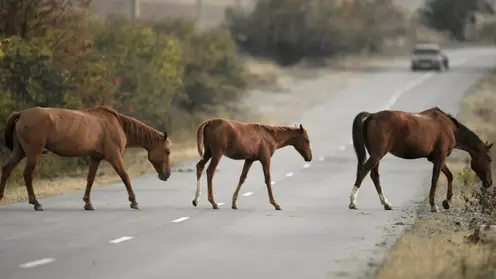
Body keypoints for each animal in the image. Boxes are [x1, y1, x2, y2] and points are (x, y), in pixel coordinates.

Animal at [0, 106, 172, 211]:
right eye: (167, 151)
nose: (167, 175)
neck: (118, 125)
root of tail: (22, 114)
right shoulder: (114, 156)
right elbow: (125, 176)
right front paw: (134, 201)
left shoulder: (95, 158)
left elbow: (90, 179)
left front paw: (88, 203)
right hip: (32, 153)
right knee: (27, 175)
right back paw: (36, 203)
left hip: (20, 152)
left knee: (6, 169)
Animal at [348, 106, 492, 213]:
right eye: (490, 159)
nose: (489, 183)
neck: (450, 128)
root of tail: (372, 115)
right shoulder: (440, 157)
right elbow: (435, 179)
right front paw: (434, 205)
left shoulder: (436, 159)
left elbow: (449, 176)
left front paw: (447, 201)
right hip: (377, 154)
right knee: (364, 171)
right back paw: (353, 202)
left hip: (376, 155)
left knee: (374, 175)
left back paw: (386, 204)